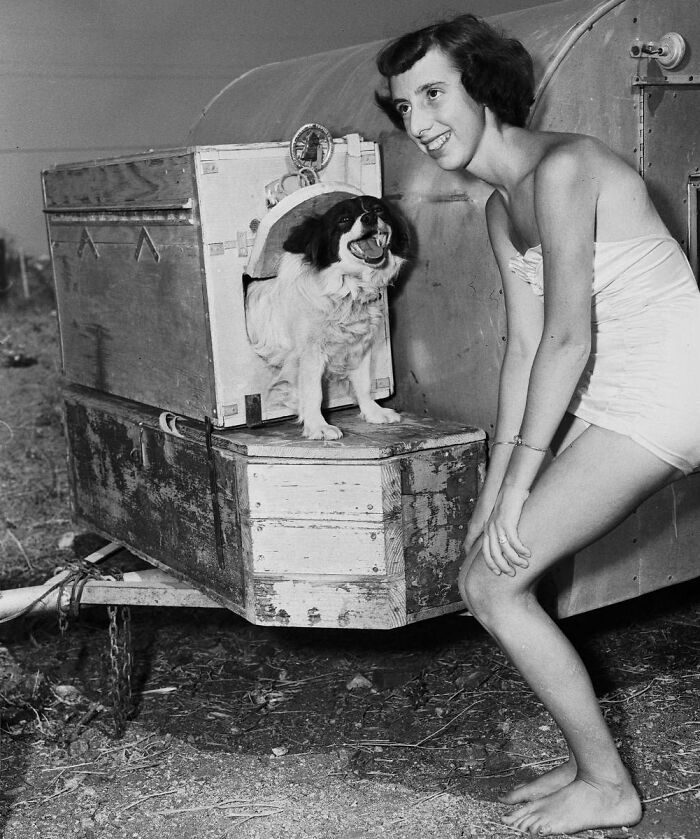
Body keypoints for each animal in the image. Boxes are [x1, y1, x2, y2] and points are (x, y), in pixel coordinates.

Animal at [246, 195, 410, 440]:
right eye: (343, 220)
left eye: (378, 209)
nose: (370, 218)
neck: (348, 291)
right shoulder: (310, 354)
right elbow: (314, 392)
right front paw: (318, 426)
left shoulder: (360, 346)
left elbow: (363, 383)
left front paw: (372, 412)